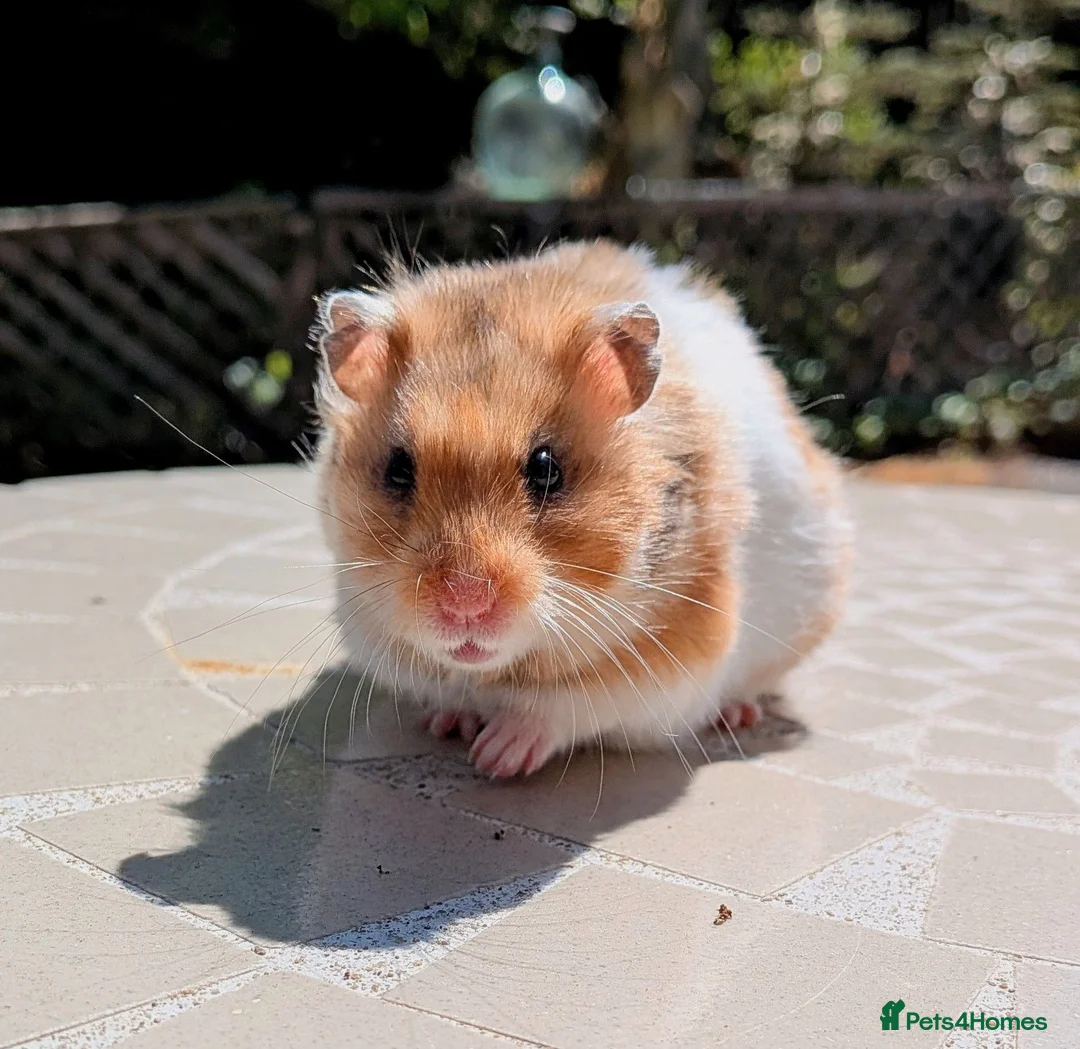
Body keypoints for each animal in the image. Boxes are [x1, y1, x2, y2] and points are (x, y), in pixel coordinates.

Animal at [313, 240, 851, 778]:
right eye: (398, 470)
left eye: (547, 470)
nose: (464, 607)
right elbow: (451, 691)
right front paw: (451, 725)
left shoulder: (674, 654)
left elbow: (564, 707)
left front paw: (495, 757)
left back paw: (737, 714)